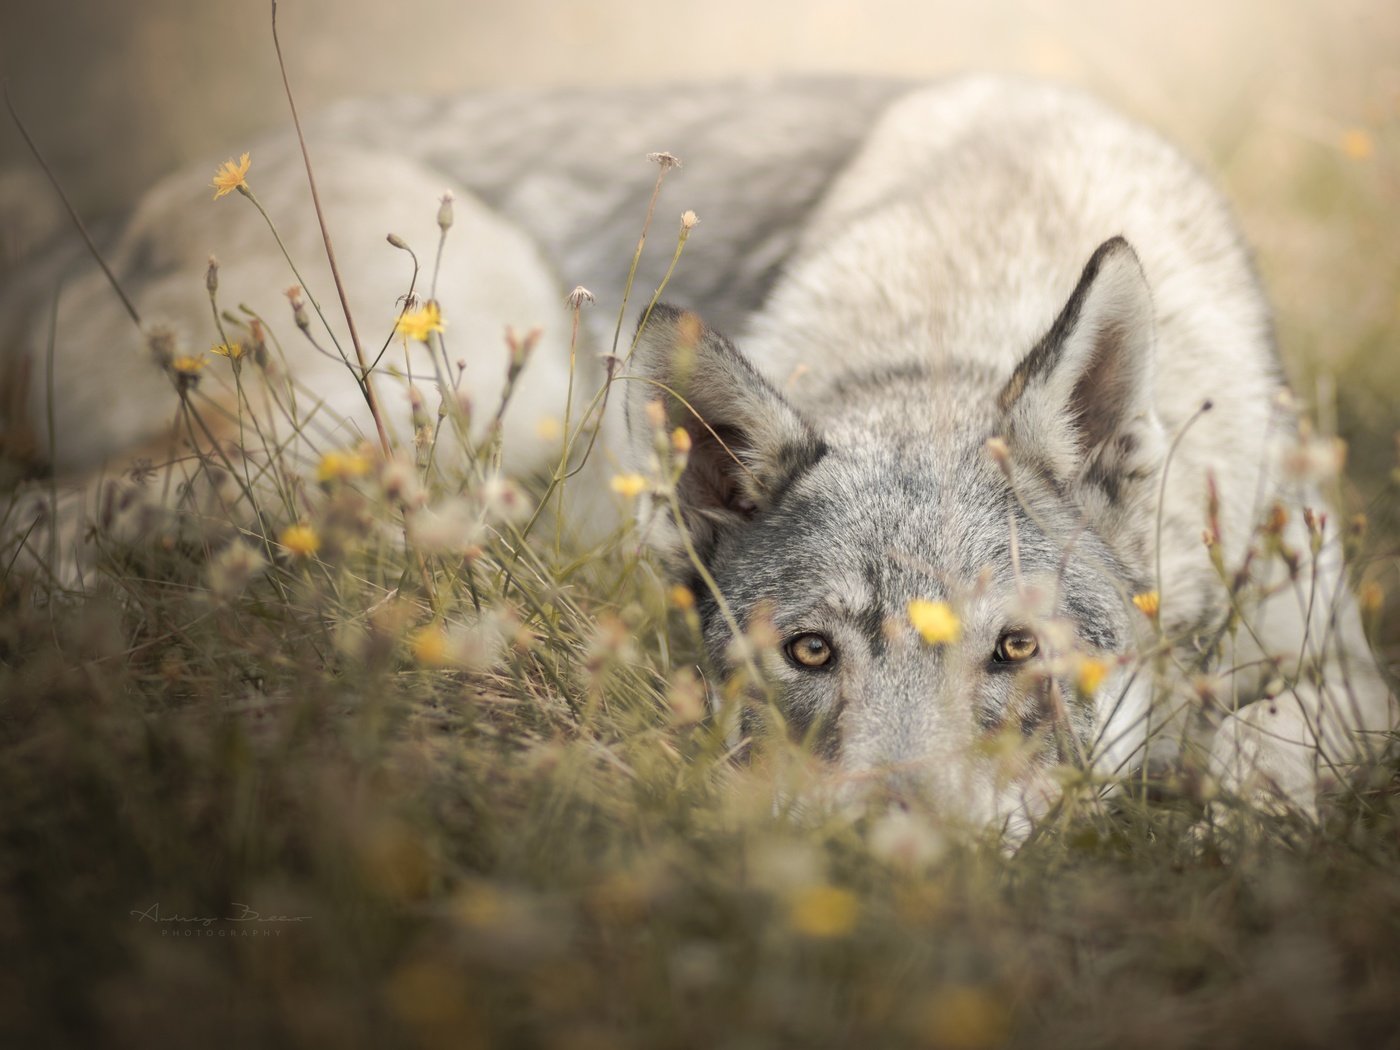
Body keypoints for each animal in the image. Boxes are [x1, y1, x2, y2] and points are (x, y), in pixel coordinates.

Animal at [5, 74, 1394, 834]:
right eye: (809, 653)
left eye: (1014, 650)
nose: (885, 849)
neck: (954, 309)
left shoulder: (1346, 675)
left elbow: (1262, 743)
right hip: (432, 391)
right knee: (57, 521)